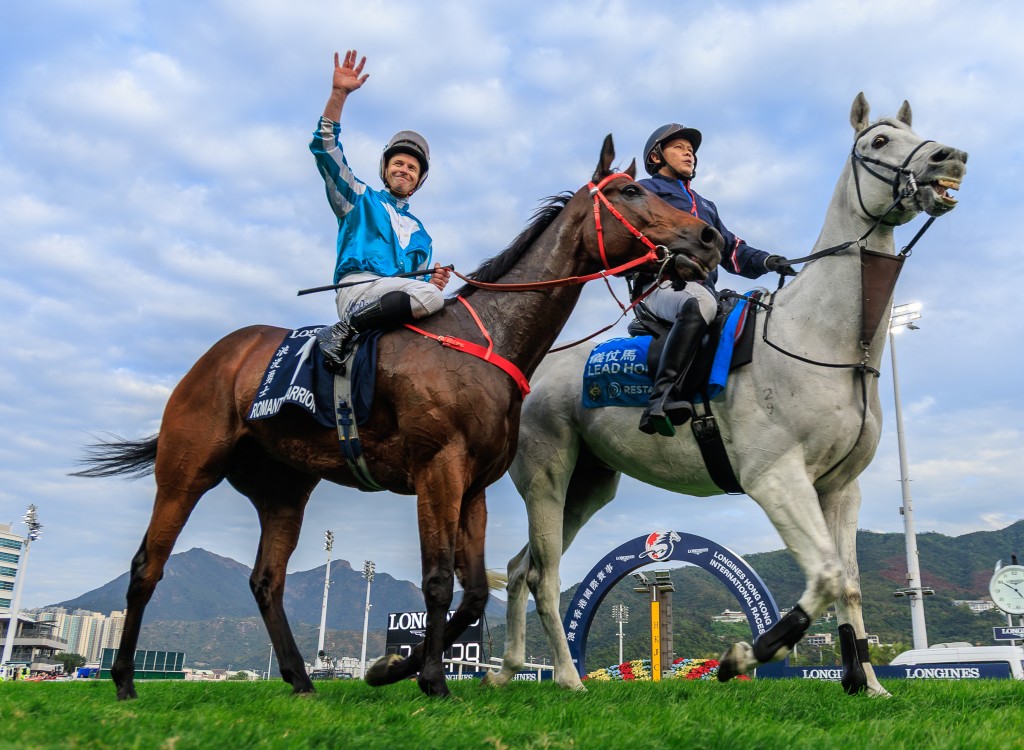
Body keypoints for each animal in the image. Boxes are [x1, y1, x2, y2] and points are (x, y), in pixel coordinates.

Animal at [73, 135, 723, 700]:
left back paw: (301, 680)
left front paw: (390, 669)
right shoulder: (438, 471)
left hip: (284, 489)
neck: (484, 338)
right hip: (187, 470)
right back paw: (125, 682)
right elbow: (437, 581)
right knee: (147, 566)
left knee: (267, 580)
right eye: (631, 191)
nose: (709, 236)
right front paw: (430, 679)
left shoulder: (473, 485)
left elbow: (471, 592)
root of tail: (216, 356)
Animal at [484, 94, 967, 697]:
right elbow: (827, 575)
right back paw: (570, 679)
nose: (951, 159)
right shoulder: (775, 477)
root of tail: (532, 370)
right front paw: (744, 656)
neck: (820, 339)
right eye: (879, 142)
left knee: (520, 568)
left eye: (916, 134)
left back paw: (508, 670)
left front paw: (867, 684)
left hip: (588, 487)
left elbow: (850, 587)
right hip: (546, 477)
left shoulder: (840, 490)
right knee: (543, 575)